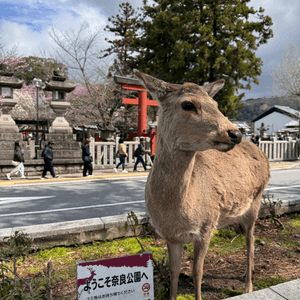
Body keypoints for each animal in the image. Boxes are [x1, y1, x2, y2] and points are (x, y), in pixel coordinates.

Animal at [136, 71, 270, 298]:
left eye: (215, 103)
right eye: (187, 104)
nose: (235, 133)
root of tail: (262, 153)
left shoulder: (207, 226)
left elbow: (197, 273)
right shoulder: (171, 236)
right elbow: (174, 271)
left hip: (256, 200)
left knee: (251, 238)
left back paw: (248, 286)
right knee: (248, 237)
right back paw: (245, 275)